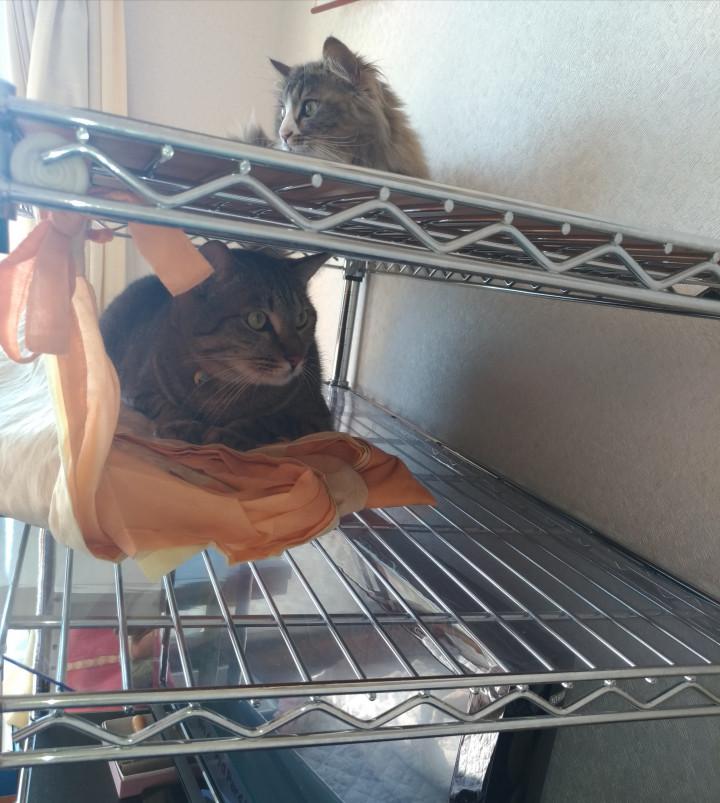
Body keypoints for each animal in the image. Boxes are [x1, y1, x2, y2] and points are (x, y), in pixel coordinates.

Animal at [100, 241, 332, 451]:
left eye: (302, 319)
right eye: (257, 319)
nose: (297, 359)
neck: (223, 386)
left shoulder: (315, 417)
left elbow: (269, 420)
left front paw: (231, 434)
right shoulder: (135, 391)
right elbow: (166, 406)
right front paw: (182, 424)